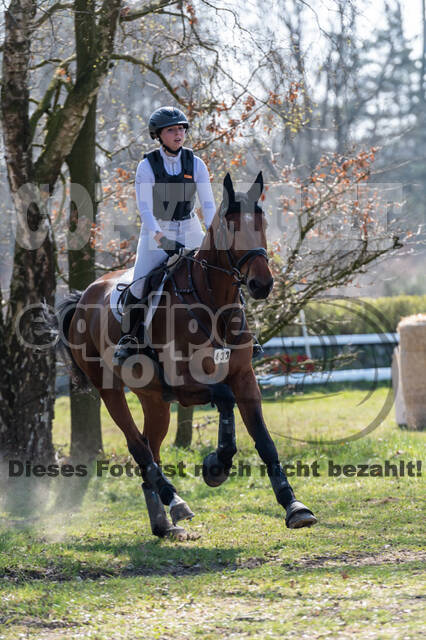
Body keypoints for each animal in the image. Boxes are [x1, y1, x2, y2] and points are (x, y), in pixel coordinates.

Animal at [57, 172, 316, 536]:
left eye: (262, 224)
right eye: (229, 227)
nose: (262, 285)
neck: (212, 303)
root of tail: (83, 297)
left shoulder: (243, 378)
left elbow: (264, 440)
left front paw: (294, 506)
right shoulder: (184, 382)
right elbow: (224, 398)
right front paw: (216, 465)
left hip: (154, 398)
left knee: (150, 445)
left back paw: (163, 522)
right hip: (110, 390)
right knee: (137, 446)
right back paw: (175, 501)